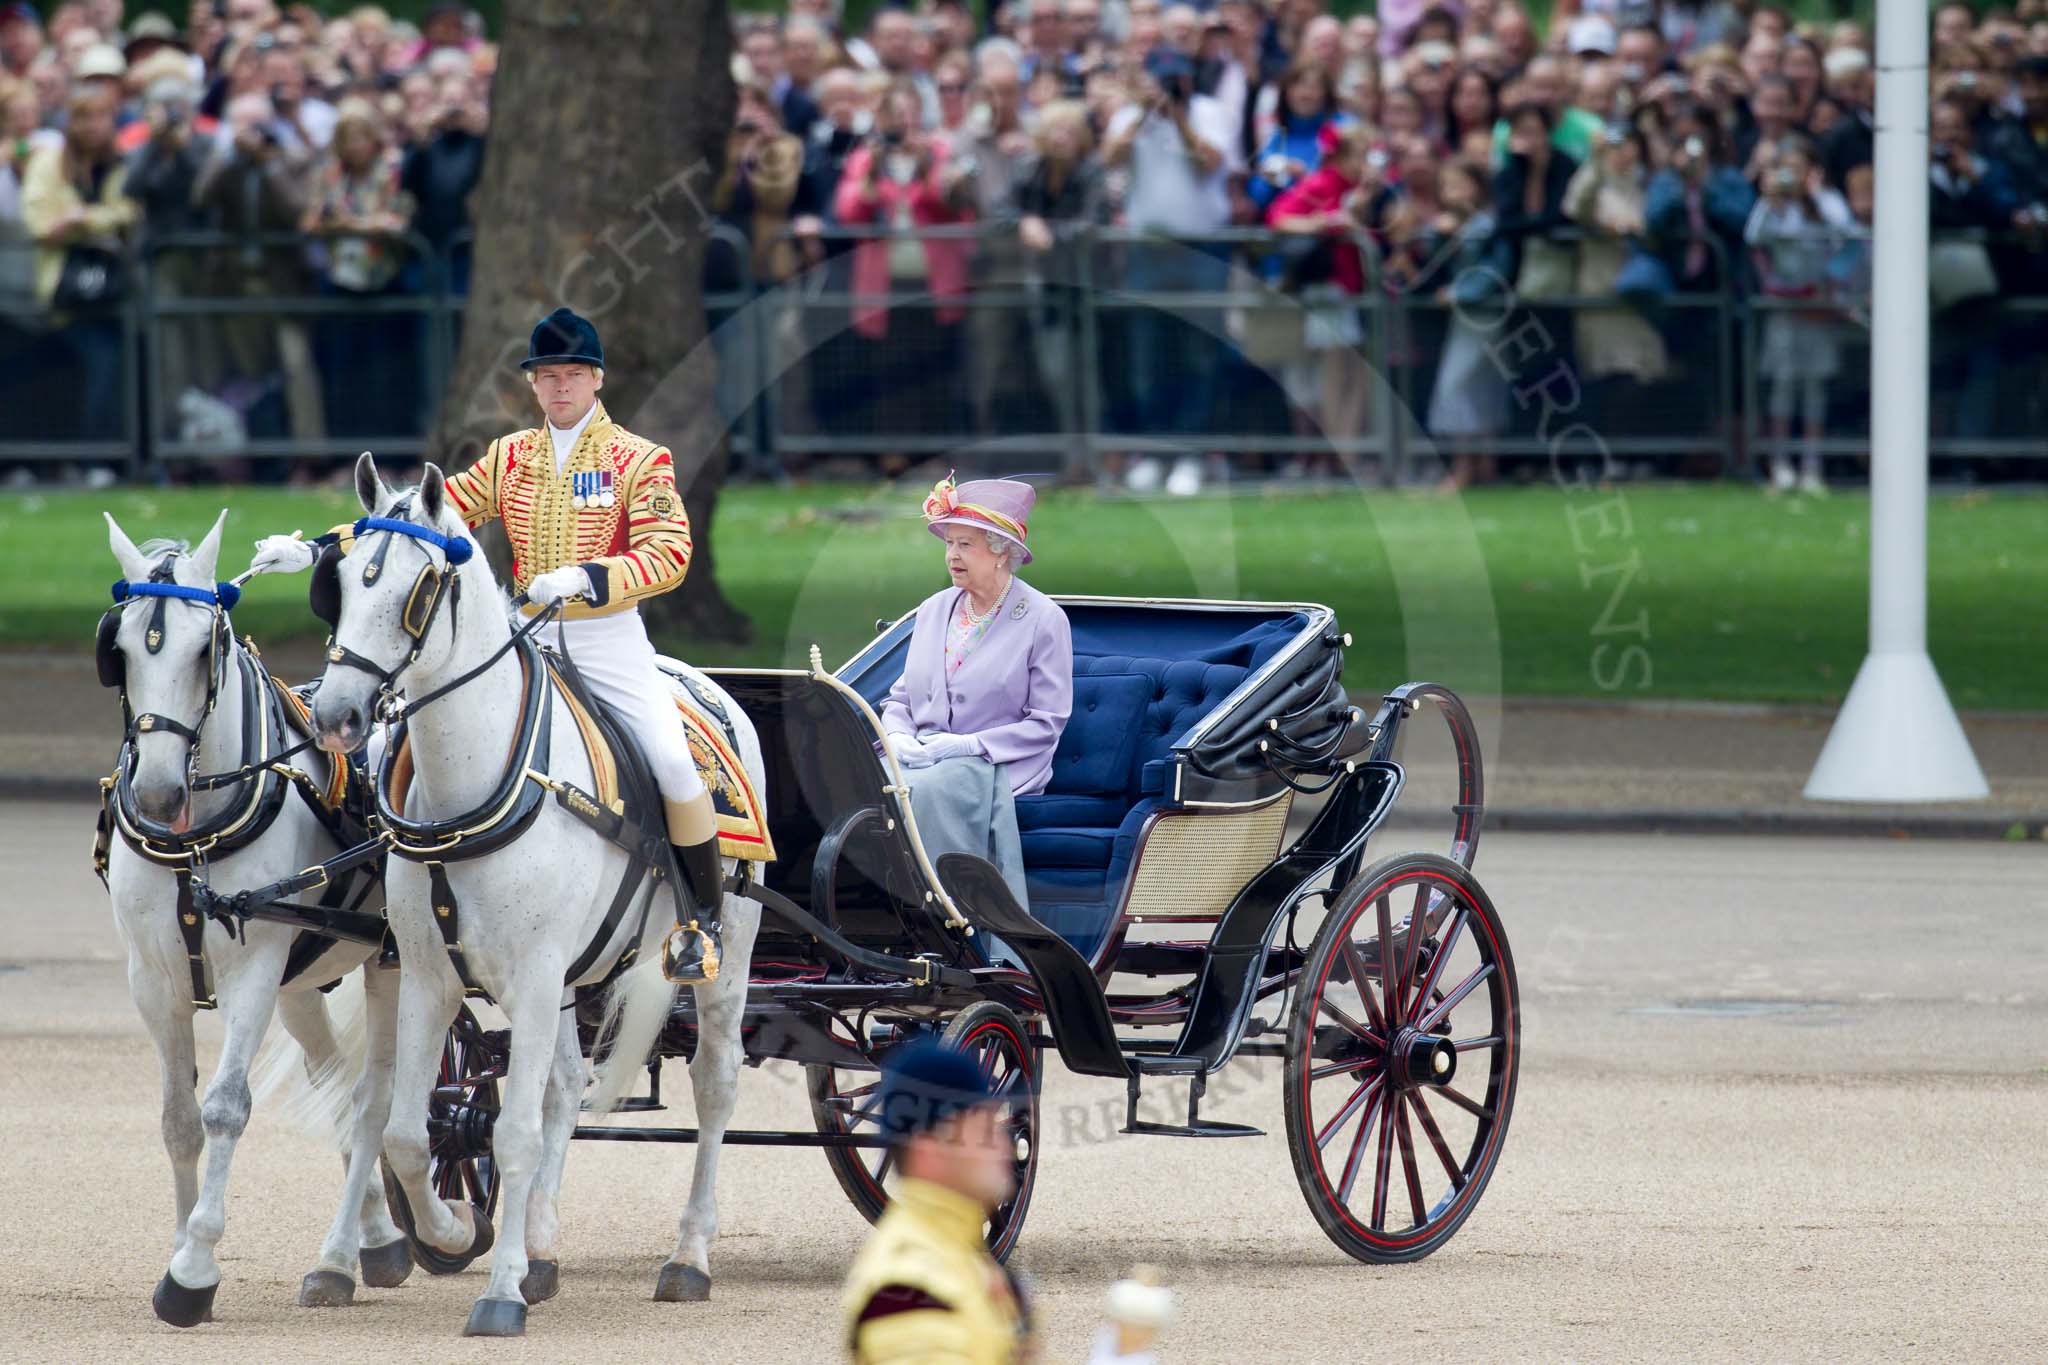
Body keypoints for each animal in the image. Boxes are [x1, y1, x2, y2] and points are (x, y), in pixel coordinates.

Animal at [99, 509, 415, 1326]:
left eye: (201, 648)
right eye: (120, 648)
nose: (158, 794)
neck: (195, 842)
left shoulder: (253, 970)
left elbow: (225, 1108)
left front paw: (194, 1269)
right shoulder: (153, 978)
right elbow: (178, 1116)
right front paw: (179, 1244)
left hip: (395, 963)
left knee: (374, 1101)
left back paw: (354, 1248)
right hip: (304, 981)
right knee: (335, 1082)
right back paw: (371, 1242)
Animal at [311, 456, 770, 1334]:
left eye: (421, 587)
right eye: (341, 581)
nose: (337, 715)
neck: (473, 784)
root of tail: (710, 688)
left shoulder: (530, 972)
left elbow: (514, 1132)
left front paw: (496, 1291)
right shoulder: (431, 975)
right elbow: (408, 1131)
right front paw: (458, 1230)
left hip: (723, 959)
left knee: (715, 1084)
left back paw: (688, 1255)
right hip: (568, 979)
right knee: (561, 1087)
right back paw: (544, 1248)